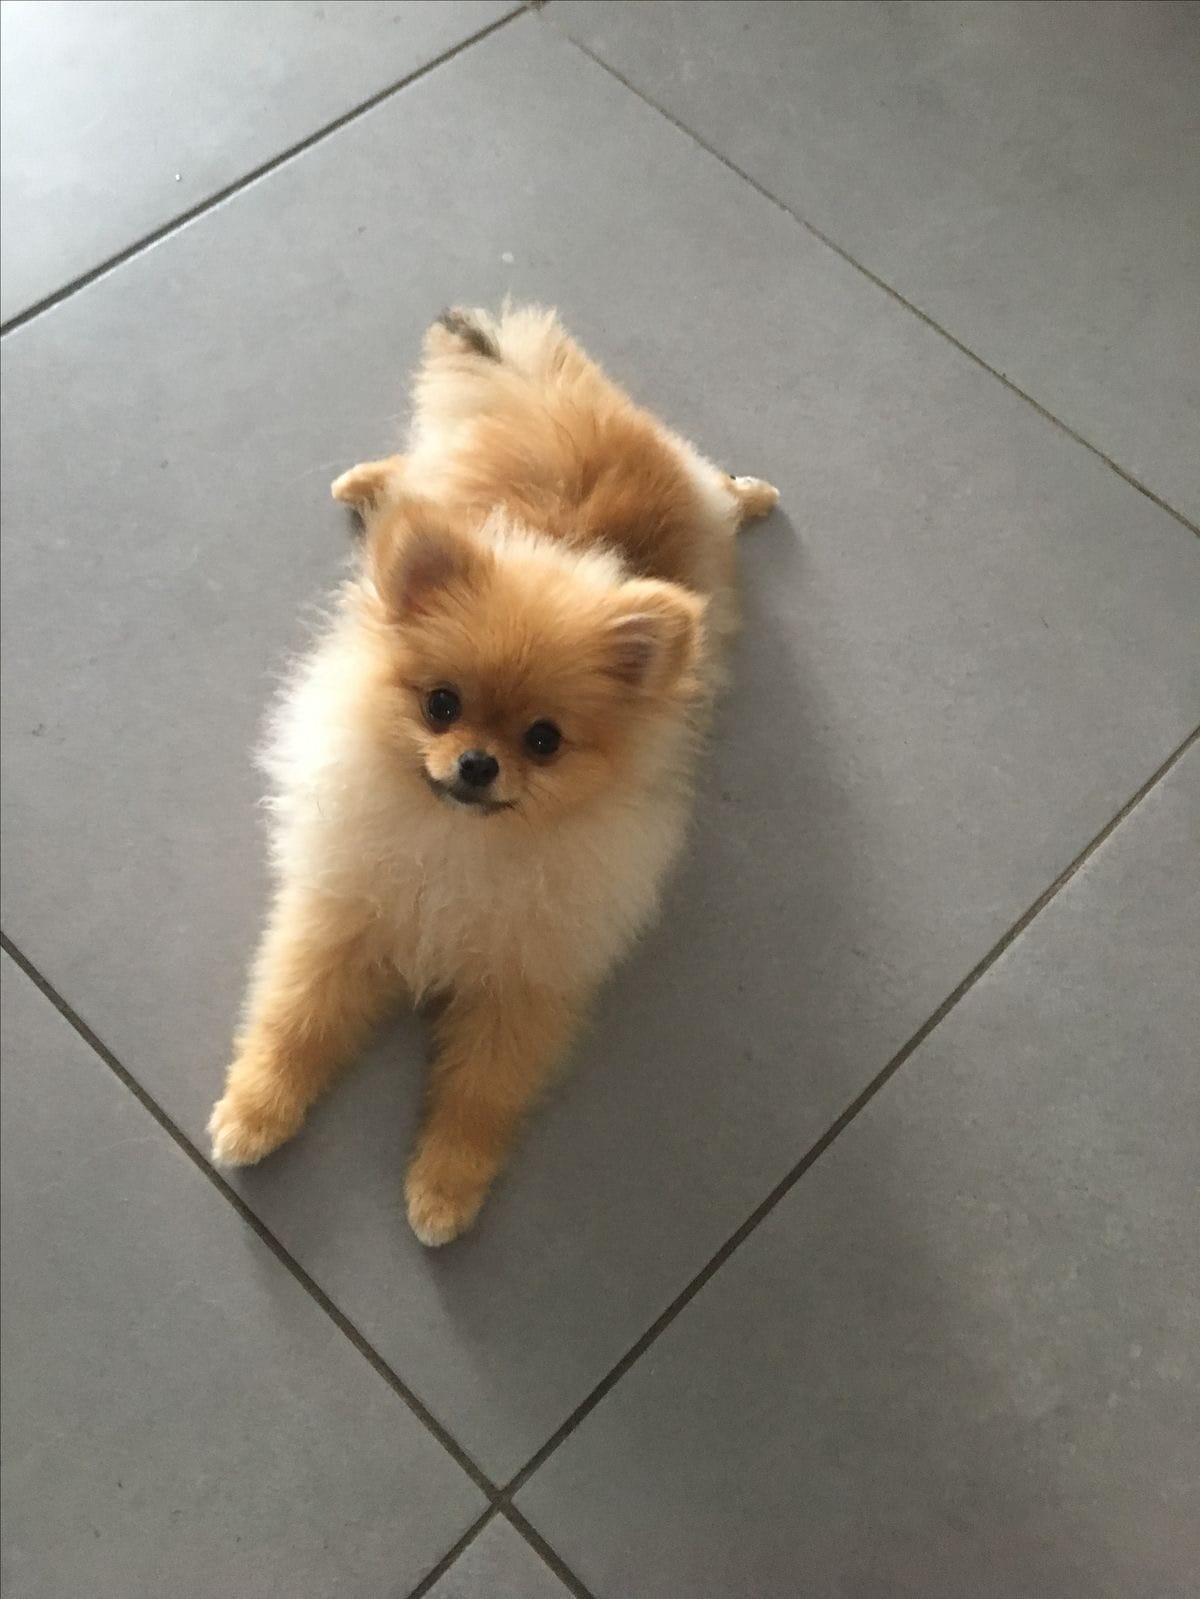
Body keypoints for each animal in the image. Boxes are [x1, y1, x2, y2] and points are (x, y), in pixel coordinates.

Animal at [209, 304, 778, 1244]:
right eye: (441, 704)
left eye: (544, 740)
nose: (478, 762)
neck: (460, 844)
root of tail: (562, 404)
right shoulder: (341, 917)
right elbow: (294, 1021)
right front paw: (254, 1114)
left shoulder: (527, 980)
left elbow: (480, 1093)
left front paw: (443, 1190)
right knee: (414, 470)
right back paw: (367, 485)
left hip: (683, 494)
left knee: (714, 484)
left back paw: (755, 493)